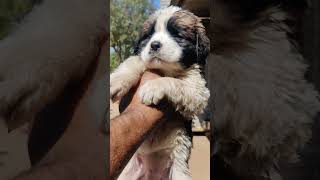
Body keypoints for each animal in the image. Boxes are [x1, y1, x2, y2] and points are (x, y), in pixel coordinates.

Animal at [110, 5, 210, 180]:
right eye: (149, 36)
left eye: (177, 35)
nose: (154, 45)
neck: (165, 70)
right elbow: (134, 60)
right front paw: (116, 80)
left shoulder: (198, 91)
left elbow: (175, 82)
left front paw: (153, 87)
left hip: (179, 170)